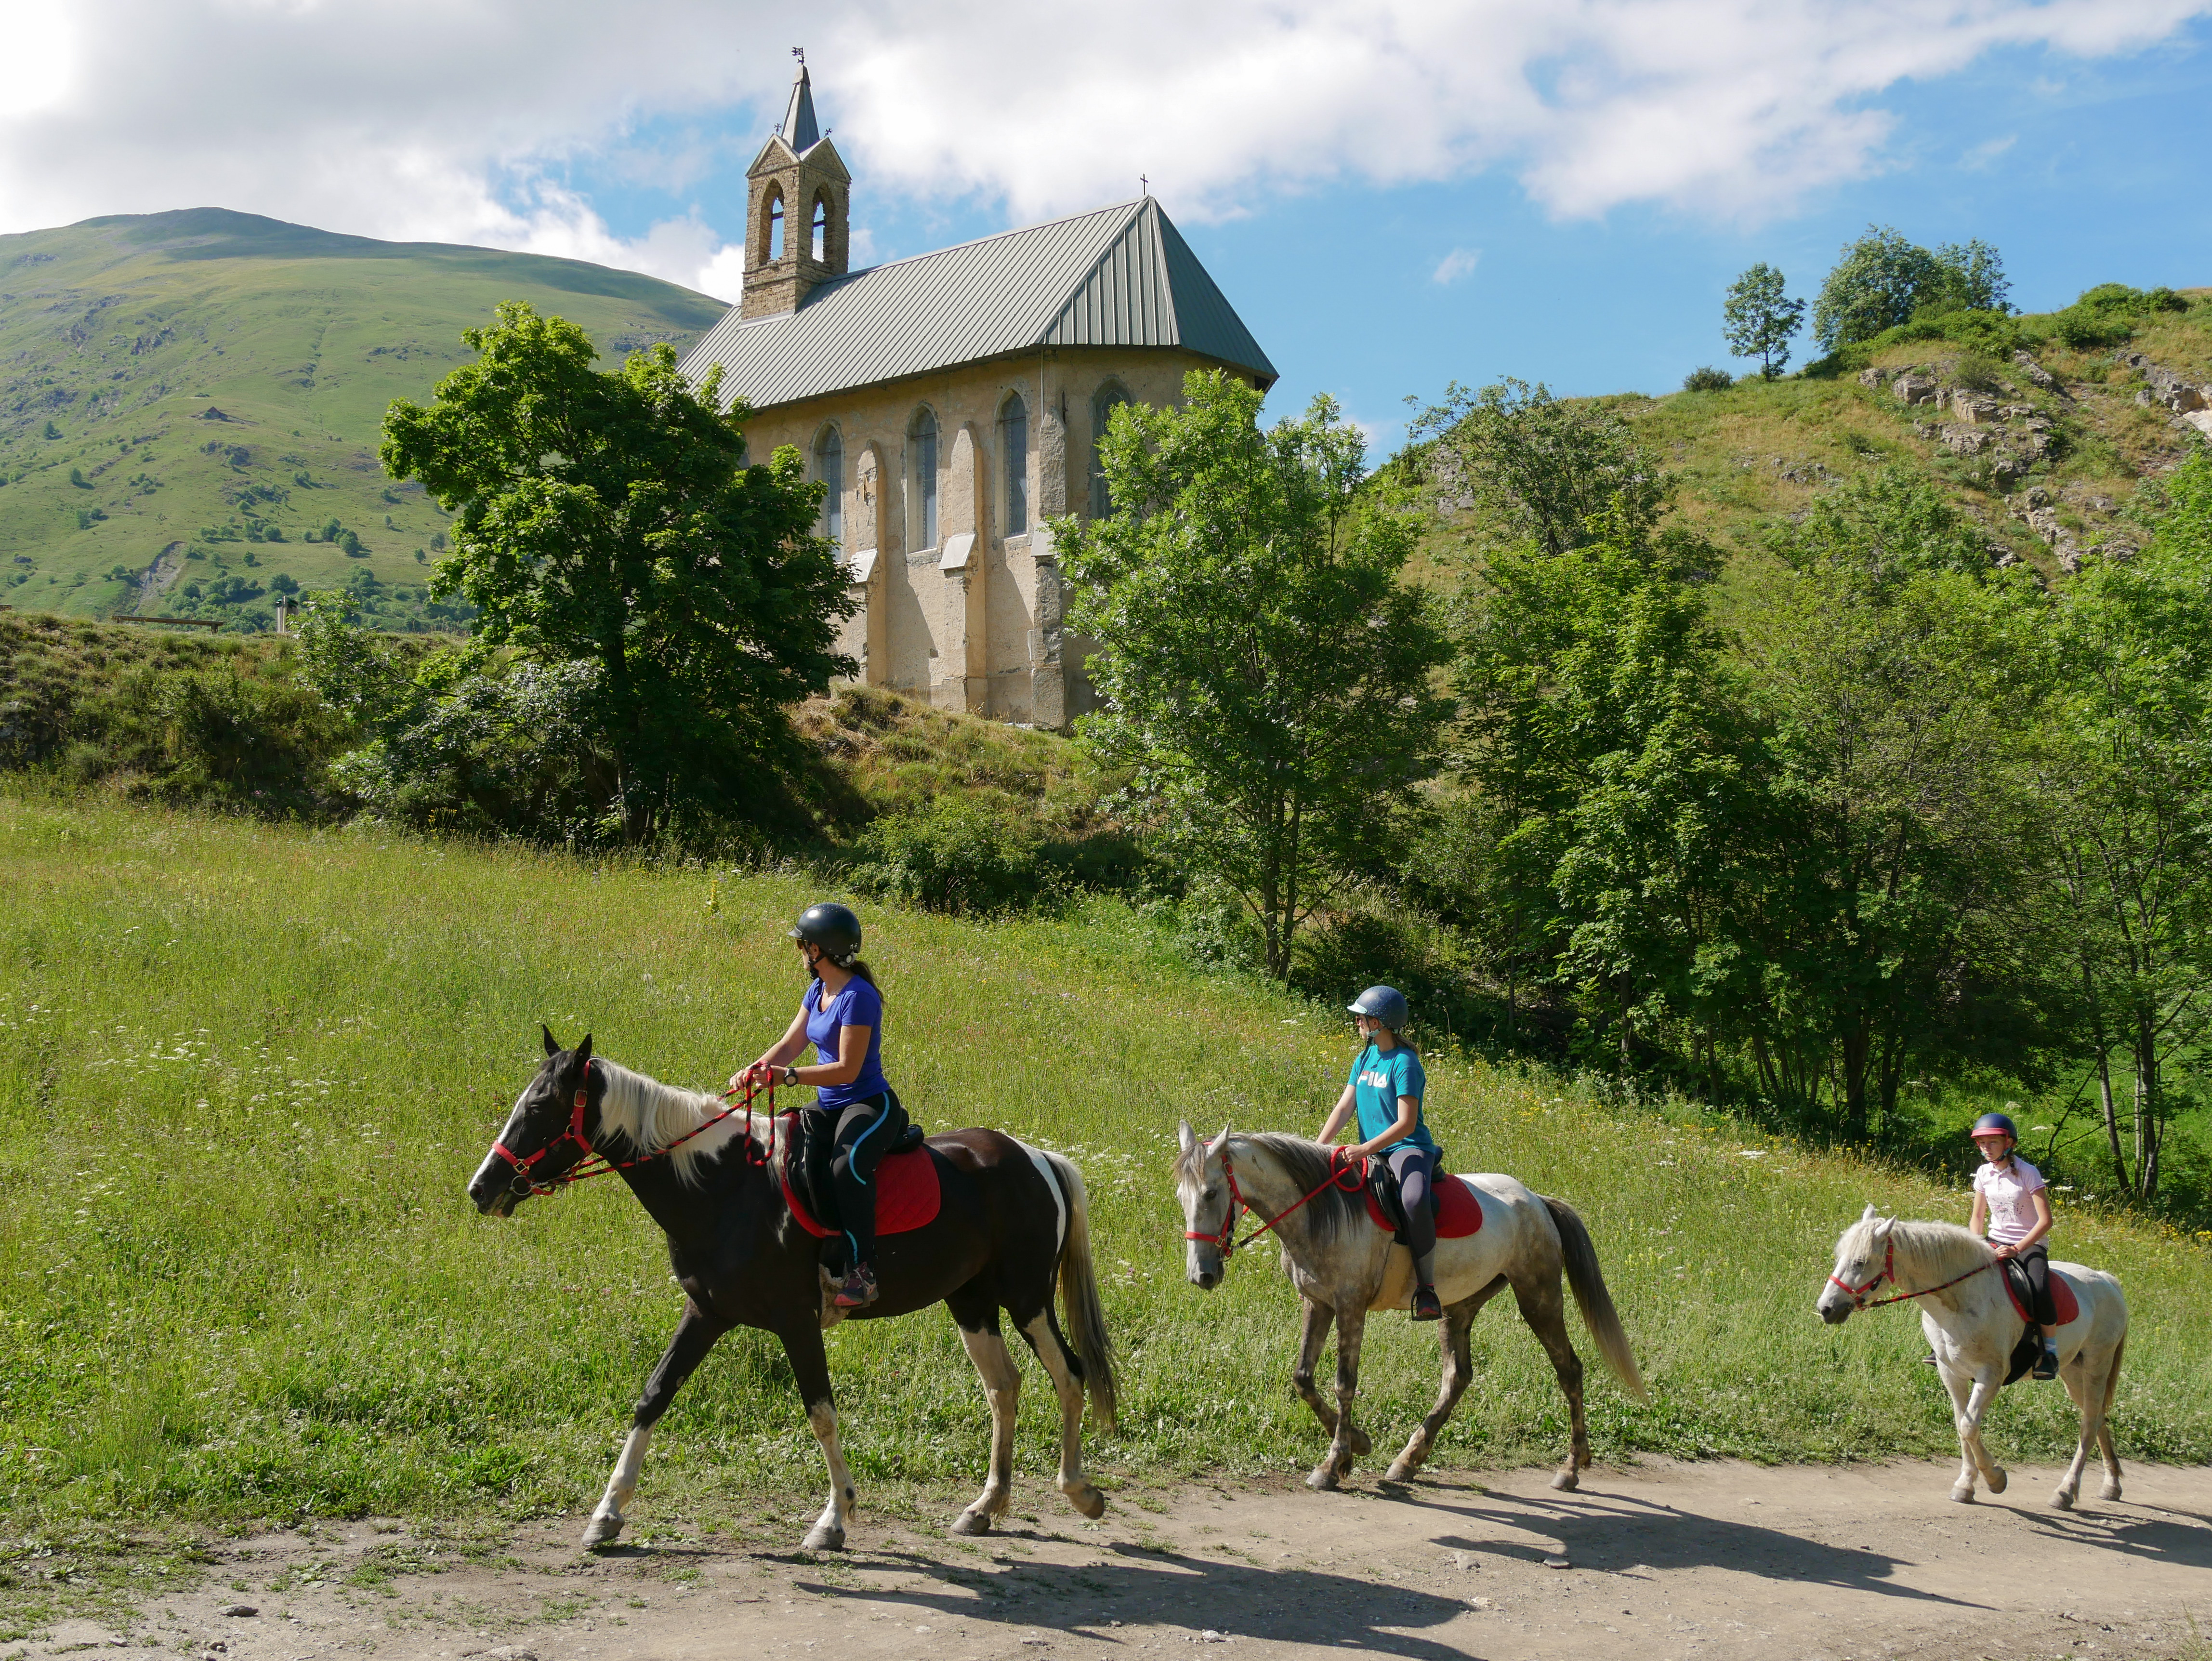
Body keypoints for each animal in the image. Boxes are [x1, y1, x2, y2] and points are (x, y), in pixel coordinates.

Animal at [473, 1035, 1115, 1557]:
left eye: (539, 1107)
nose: (481, 1188)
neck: (722, 1188)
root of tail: (1036, 1157)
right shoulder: (705, 1312)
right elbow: (652, 1398)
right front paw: (606, 1515)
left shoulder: (796, 1321)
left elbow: (821, 1414)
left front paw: (833, 1519)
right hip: (971, 1303)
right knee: (1003, 1387)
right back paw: (985, 1507)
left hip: (1026, 1299)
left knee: (1069, 1375)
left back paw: (1079, 1490)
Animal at [1814, 1212, 2123, 1504]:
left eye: (1860, 1262)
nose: (1826, 1308)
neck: (1961, 1300)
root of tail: (2107, 1280)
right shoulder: (1951, 1373)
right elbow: (1961, 1424)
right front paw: (1965, 1486)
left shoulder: (1991, 1376)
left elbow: (1969, 1426)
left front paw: (1995, 1478)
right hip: (2073, 1373)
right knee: (2097, 1418)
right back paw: (2112, 1485)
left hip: (2097, 1366)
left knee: (2088, 1425)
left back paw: (2066, 1492)